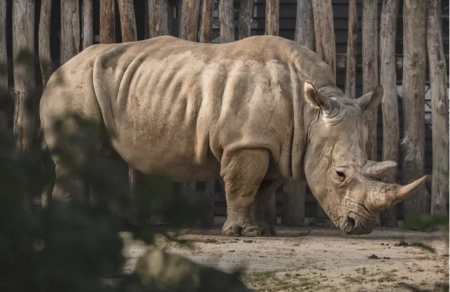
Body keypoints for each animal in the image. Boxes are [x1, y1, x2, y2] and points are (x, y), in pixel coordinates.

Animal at [39, 34, 426, 235]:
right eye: (340, 175)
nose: (360, 227)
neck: (312, 112)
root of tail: (58, 68)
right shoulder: (246, 142)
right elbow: (242, 186)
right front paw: (240, 234)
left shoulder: (277, 145)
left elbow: (263, 189)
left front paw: (263, 231)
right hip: (71, 85)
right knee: (76, 158)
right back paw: (69, 230)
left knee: (107, 158)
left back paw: (117, 229)